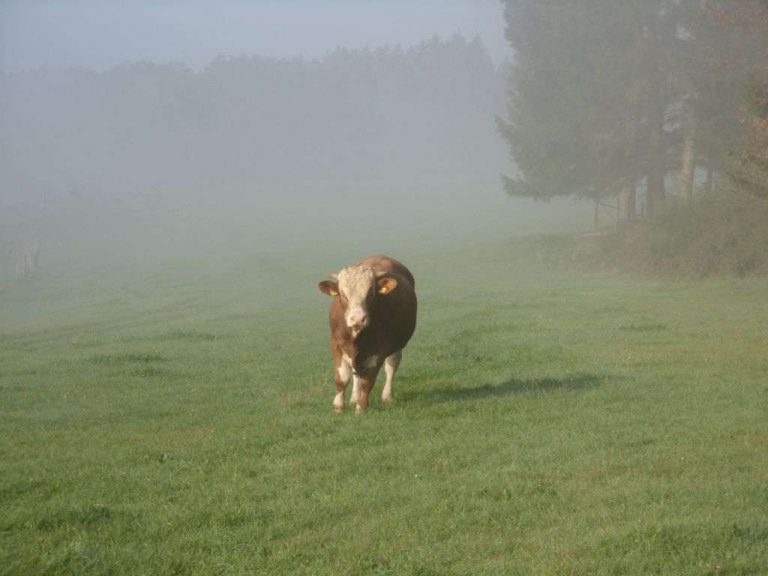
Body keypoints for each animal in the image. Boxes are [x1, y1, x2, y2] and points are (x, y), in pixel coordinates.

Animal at [317, 255, 417, 413]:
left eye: (370, 293)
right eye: (343, 294)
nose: (358, 318)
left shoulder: (379, 349)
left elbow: (367, 380)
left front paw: (361, 408)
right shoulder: (336, 344)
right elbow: (342, 378)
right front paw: (339, 407)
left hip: (398, 344)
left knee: (391, 365)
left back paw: (386, 396)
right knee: (355, 371)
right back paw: (354, 398)